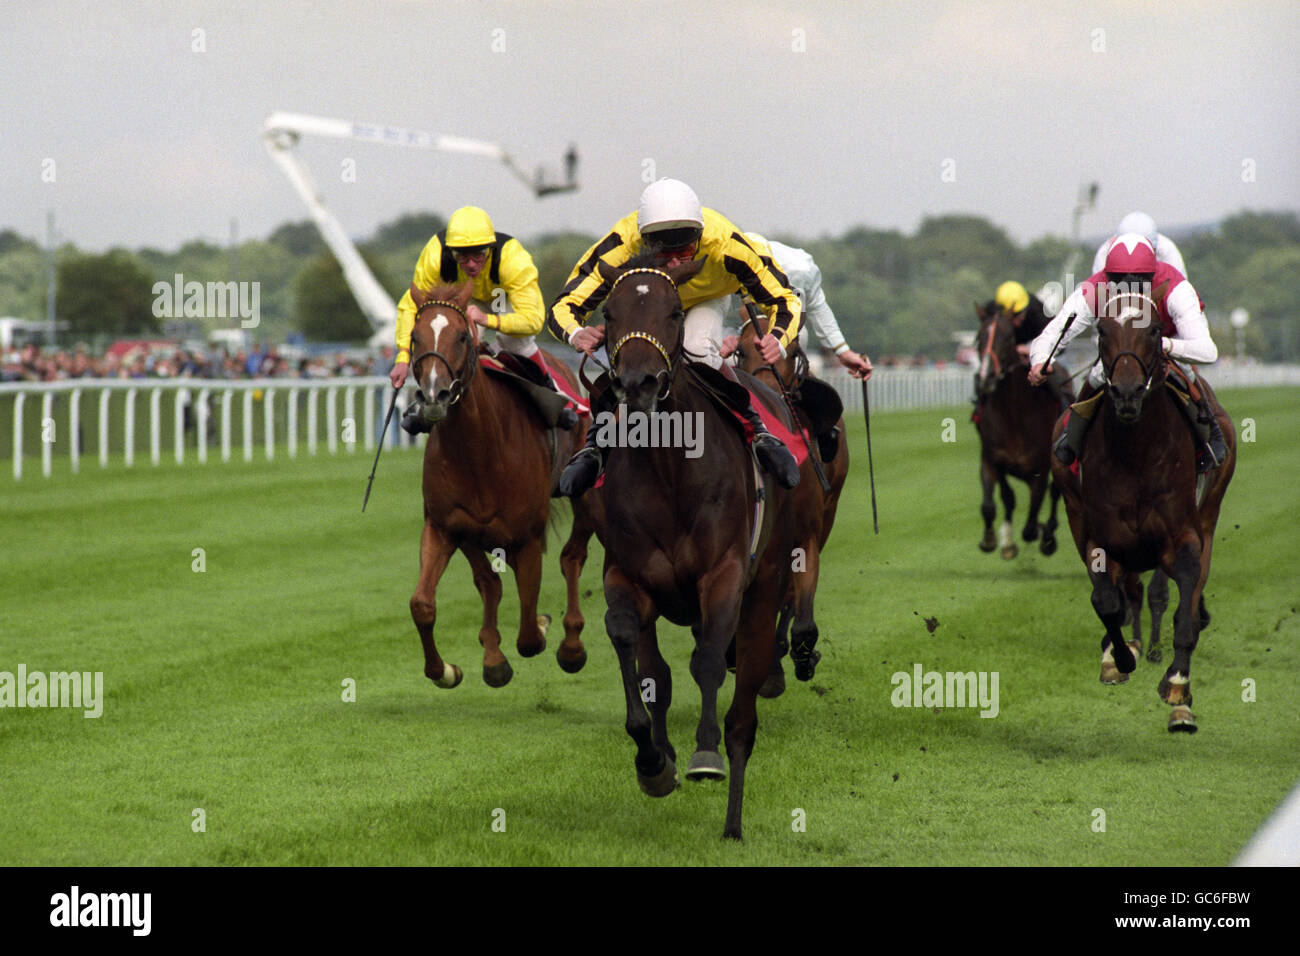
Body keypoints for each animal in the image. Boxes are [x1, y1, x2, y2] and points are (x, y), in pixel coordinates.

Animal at [405, 280, 598, 691]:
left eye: (462, 336)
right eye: (414, 336)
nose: (434, 396)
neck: (480, 451)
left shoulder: (526, 537)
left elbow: (527, 631)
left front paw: (540, 629)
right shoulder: (447, 526)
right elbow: (424, 603)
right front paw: (451, 669)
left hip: (587, 493)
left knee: (572, 556)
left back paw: (571, 645)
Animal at [595, 256, 795, 842]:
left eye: (674, 312)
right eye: (608, 313)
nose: (638, 383)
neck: (669, 467)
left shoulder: (723, 573)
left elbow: (706, 661)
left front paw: (704, 755)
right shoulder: (626, 576)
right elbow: (631, 646)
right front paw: (652, 760)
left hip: (764, 588)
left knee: (743, 715)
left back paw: (732, 823)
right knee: (658, 671)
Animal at [972, 304, 1071, 561]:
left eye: (1007, 338)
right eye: (979, 338)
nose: (986, 377)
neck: (1014, 416)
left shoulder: (1041, 467)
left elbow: (1032, 520)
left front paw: (1042, 533)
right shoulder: (991, 458)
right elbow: (996, 502)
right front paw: (995, 540)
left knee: (1055, 493)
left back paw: (1048, 535)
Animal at [1045, 291, 1237, 733]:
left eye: (1154, 330)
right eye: (1102, 330)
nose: (1128, 393)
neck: (1136, 454)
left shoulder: (1183, 537)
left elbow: (1184, 607)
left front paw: (1178, 687)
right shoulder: (1099, 536)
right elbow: (1107, 601)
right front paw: (1119, 657)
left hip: (1211, 506)